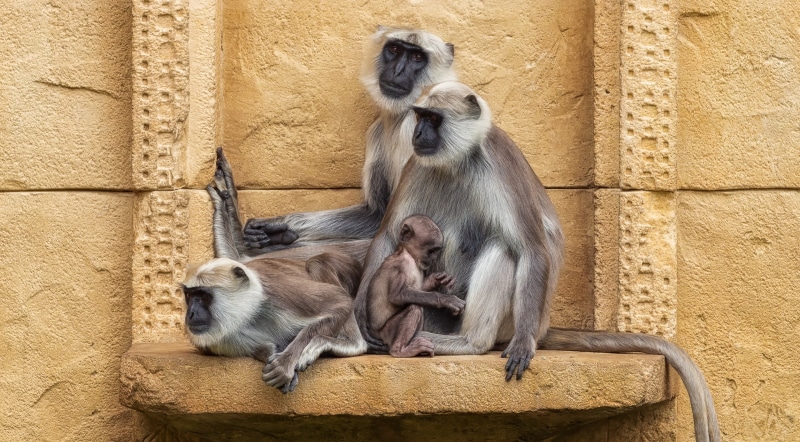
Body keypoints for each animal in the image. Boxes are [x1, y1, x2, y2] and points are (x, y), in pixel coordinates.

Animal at [181, 148, 367, 394]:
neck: (249, 313)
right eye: (189, 296)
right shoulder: (218, 342)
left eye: (202, 296)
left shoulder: (279, 294)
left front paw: (285, 362)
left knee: (319, 262)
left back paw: (348, 344)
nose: (191, 314)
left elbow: (339, 301)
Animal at [240, 26, 458, 260]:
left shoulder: (413, 128)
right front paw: (278, 227)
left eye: (417, 57)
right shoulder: (377, 131)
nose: (398, 71)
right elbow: (376, 214)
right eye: (394, 50)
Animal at [366, 215, 464, 357]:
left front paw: (439, 279)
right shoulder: (400, 266)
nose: (434, 259)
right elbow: (396, 295)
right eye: (431, 251)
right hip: (386, 334)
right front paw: (445, 299)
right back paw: (399, 350)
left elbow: (420, 288)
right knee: (415, 307)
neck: (408, 254)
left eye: (437, 251)